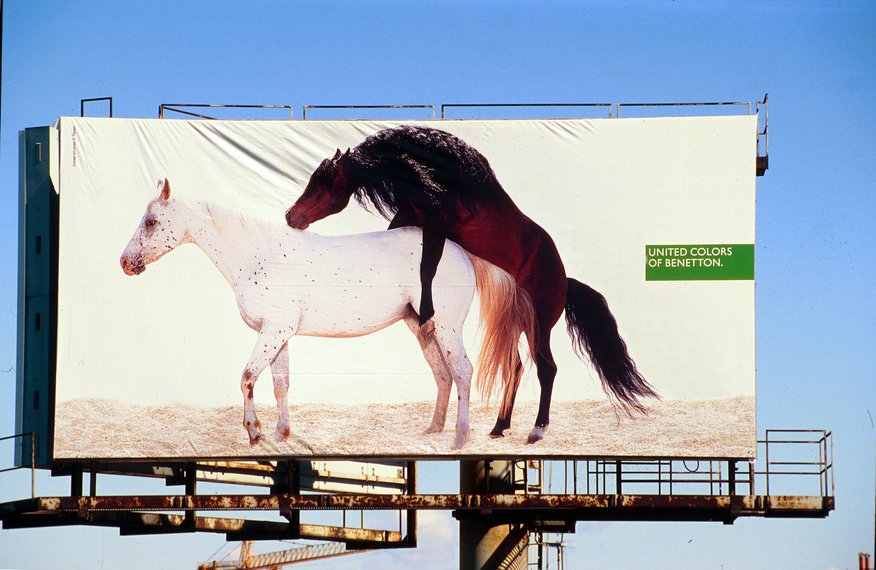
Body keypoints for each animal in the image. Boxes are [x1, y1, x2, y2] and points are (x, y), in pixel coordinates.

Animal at [116, 178, 528, 448]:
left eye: (151, 221)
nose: (124, 262)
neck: (260, 255)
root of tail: (459, 250)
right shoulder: (278, 335)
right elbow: (280, 385)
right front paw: (282, 434)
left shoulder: (272, 333)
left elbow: (247, 377)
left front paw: (254, 432)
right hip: (421, 326)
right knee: (442, 374)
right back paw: (432, 431)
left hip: (446, 327)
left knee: (462, 372)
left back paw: (459, 438)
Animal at [288, 125, 656, 444]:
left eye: (321, 183)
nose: (291, 216)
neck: (442, 181)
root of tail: (564, 280)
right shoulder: (412, 217)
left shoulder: (436, 224)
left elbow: (427, 266)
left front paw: (426, 311)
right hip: (516, 323)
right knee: (516, 367)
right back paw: (499, 426)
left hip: (540, 325)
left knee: (546, 368)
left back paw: (536, 430)